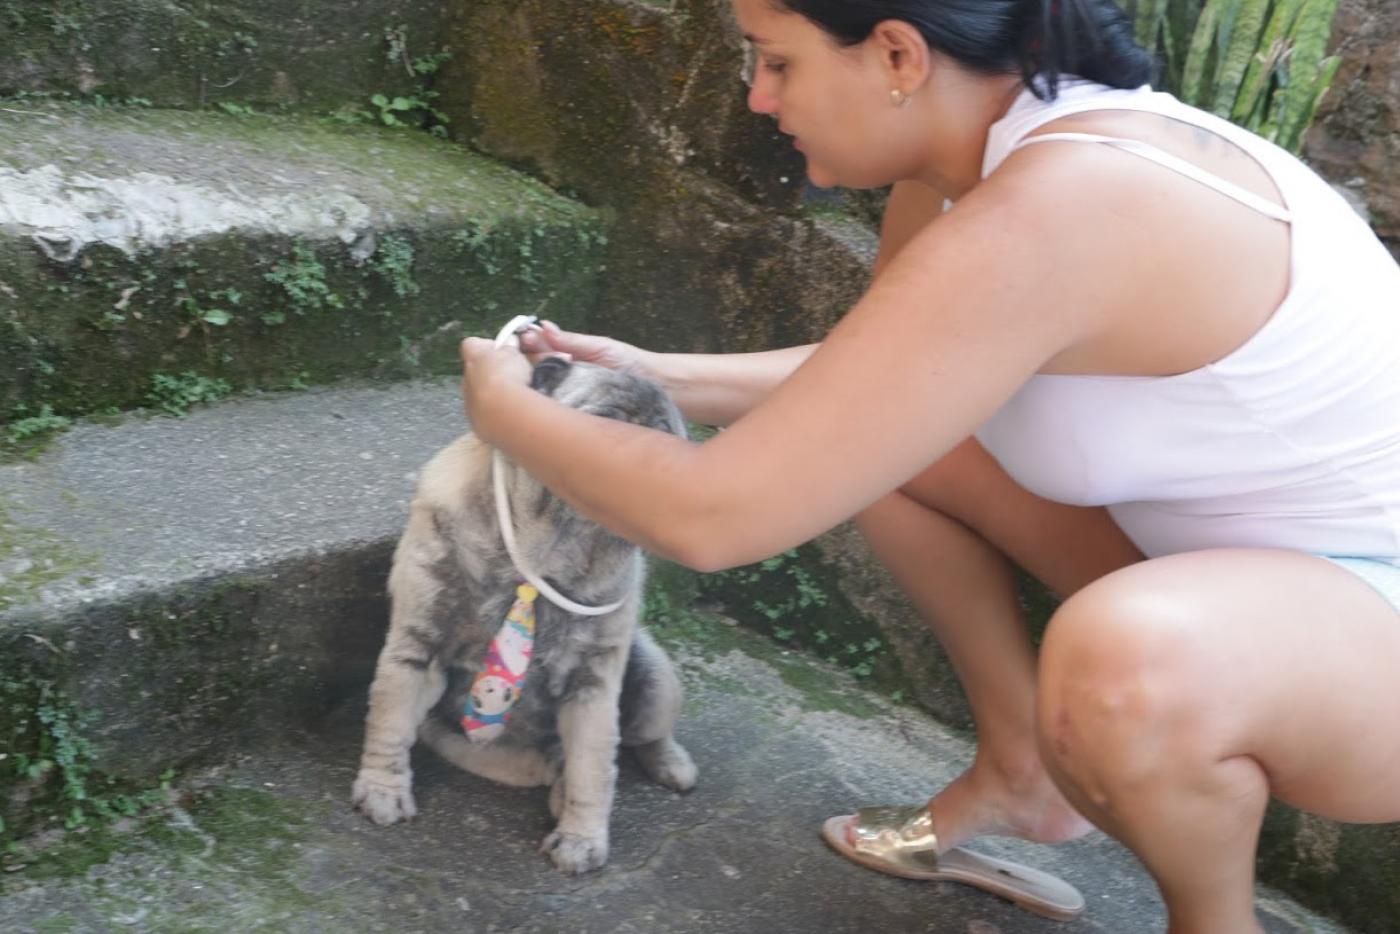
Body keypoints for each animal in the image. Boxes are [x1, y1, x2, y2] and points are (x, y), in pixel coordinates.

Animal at [352, 361, 697, 879]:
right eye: (604, 424)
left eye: (668, 440)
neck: (545, 553)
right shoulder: (415, 651)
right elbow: (389, 725)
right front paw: (382, 790)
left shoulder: (593, 689)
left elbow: (594, 771)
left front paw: (581, 840)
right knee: (551, 764)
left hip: (655, 681)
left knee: (637, 741)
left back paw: (670, 763)